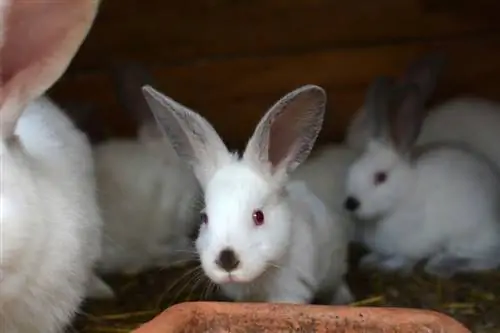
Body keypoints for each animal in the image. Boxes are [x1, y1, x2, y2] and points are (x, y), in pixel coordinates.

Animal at [344, 76, 500, 278]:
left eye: (381, 177)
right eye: (352, 169)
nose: (351, 203)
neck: (403, 196)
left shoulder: (415, 246)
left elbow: (403, 259)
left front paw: (388, 267)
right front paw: (369, 261)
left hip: (470, 236)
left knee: (488, 258)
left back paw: (440, 265)